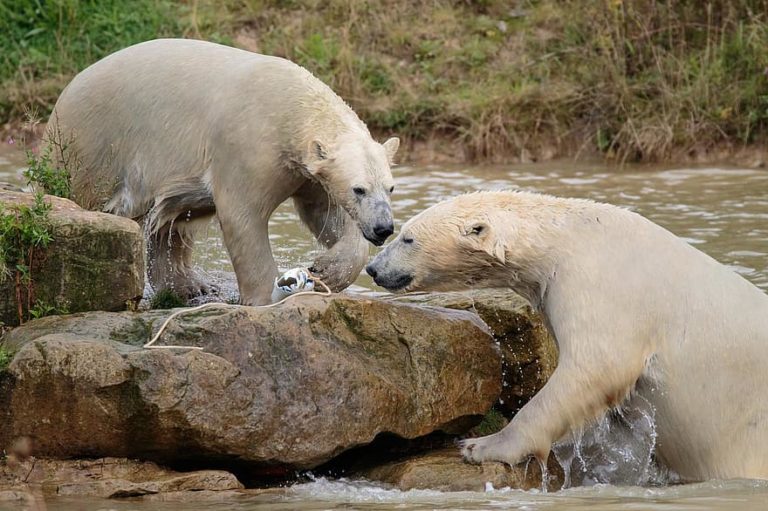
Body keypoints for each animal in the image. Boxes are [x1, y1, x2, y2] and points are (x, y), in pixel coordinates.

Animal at [46, 38, 399, 305]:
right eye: (359, 189)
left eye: (390, 188)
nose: (383, 228)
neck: (291, 106)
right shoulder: (246, 146)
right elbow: (243, 216)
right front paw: (265, 297)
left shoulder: (306, 171)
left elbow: (325, 214)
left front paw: (325, 270)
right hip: (94, 143)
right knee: (90, 196)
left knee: (169, 222)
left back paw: (190, 286)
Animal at [366, 190, 768, 481]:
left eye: (407, 238)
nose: (373, 268)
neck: (570, 238)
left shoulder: (604, 285)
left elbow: (595, 369)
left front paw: (480, 445)